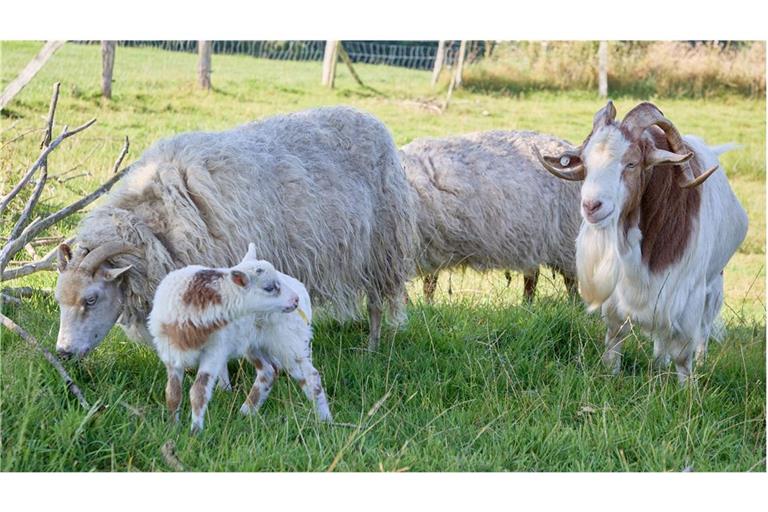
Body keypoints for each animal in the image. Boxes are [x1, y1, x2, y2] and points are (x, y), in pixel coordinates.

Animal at [54, 106, 416, 362]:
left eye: (91, 298)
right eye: (59, 300)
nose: (63, 353)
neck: (159, 225)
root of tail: (371, 119)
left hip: (381, 247)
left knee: (376, 304)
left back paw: (372, 349)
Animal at [149, 244, 330, 432]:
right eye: (269, 288)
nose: (294, 300)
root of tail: (302, 290)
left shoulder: (214, 351)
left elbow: (198, 392)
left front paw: (195, 432)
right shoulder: (171, 354)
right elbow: (172, 393)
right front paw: (172, 428)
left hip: (289, 341)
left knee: (311, 377)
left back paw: (325, 421)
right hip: (255, 344)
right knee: (269, 372)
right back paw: (245, 413)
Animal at [402, 130, 584, 302]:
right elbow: (427, 285)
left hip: (565, 237)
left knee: (570, 280)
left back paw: (573, 305)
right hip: (533, 241)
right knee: (533, 276)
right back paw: (526, 306)